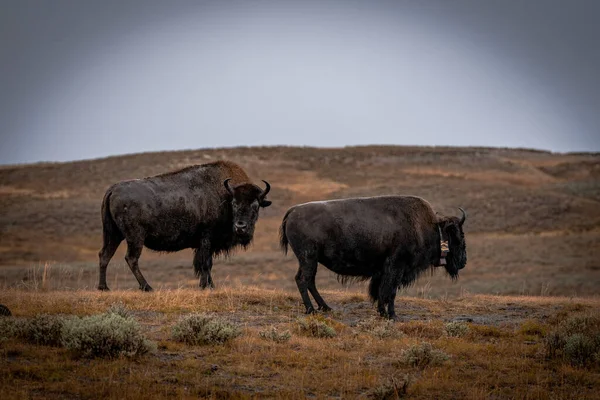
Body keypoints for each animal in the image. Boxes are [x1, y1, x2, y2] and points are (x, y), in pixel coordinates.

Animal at [98, 159, 272, 290]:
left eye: (255, 205)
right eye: (234, 203)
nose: (240, 227)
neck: (224, 196)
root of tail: (113, 189)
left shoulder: (205, 244)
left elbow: (206, 264)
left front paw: (209, 285)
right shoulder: (206, 239)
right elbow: (205, 264)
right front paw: (206, 286)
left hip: (114, 235)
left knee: (105, 255)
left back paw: (104, 287)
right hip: (135, 237)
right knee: (131, 258)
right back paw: (147, 287)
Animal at [278, 195, 466, 320]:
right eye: (458, 236)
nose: (463, 261)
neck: (430, 228)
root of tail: (293, 210)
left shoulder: (384, 272)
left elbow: (382, 291)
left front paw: (382, 312)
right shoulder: (395, 268)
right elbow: (389, 292)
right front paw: (392, 315)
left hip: (310, 261)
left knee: (308, 280)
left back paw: (326, 308)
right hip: (308, 258)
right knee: (304, 280)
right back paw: (311, 310)